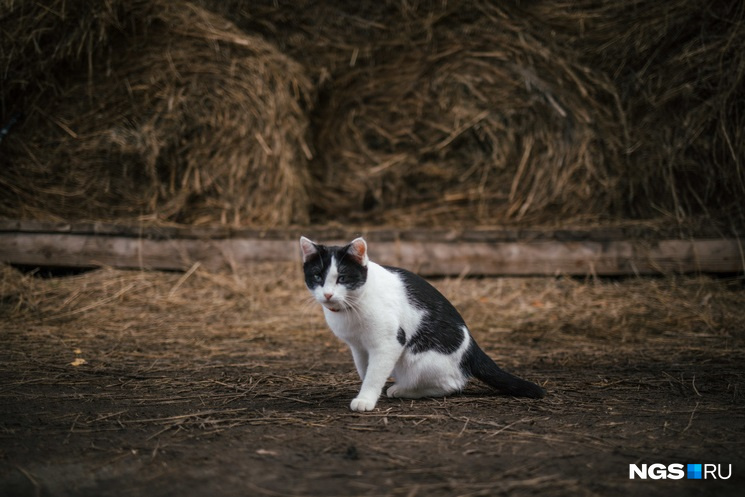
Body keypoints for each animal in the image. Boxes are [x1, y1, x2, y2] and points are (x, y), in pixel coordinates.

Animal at [300, 236, 544, 410]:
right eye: (317, 277)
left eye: (342, 278)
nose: (328, 295)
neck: (352, 306)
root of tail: (472, 347)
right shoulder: (358, 347)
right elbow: (365, 370)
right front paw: (367, 391)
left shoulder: (389, 342)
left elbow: (375, 373)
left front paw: (366, 399)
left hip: (420, 359)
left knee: (452, 384)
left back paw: (403, 390)